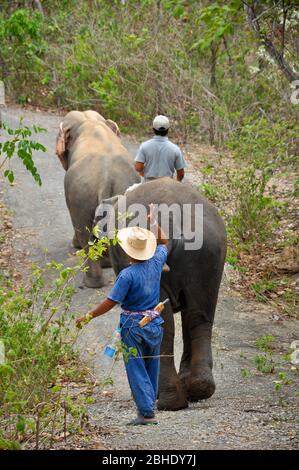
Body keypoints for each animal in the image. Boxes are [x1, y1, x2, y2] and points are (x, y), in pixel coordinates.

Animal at [55, 110, 140, 286]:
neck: (89, 122)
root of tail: (106, 179)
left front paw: (75, 246)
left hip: (80, 196)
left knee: (83, 231)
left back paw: (92, 282)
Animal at [95, 178, 227, 410]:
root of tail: (177, 222)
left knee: (164, 325)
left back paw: (167, 401)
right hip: (210, 254)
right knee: (199, 318)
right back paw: (199, 388)